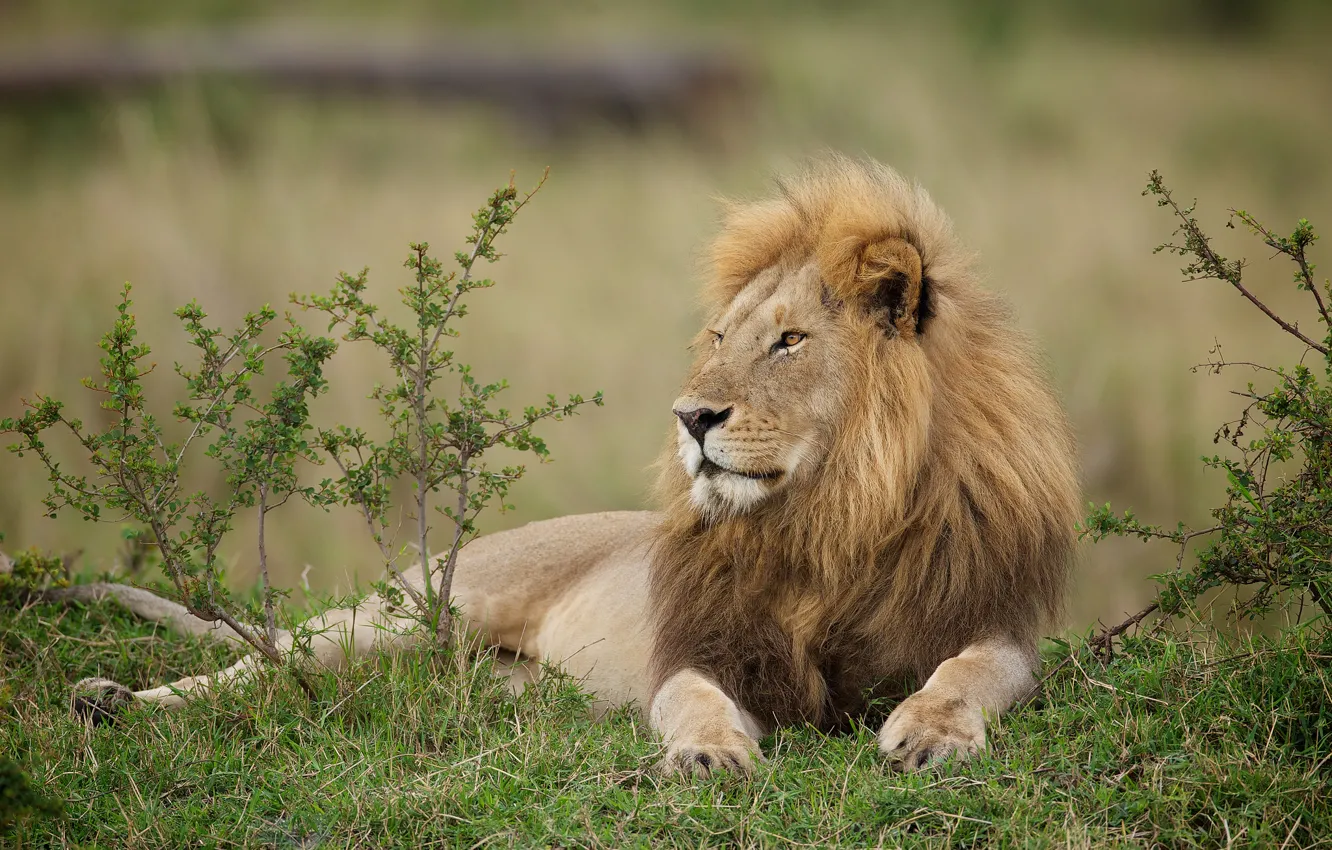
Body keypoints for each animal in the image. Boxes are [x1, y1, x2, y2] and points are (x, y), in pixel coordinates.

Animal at [64, 156, 1081, 778]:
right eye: (720, 338)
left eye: (790, 340)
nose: (691, 417)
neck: (832, 516)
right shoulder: (704, 647)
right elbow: (693, 701)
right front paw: (710, 755)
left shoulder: (990, 622)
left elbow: (966, 673)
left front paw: (930, 733)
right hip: (410, 612)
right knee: (260, 664)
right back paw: (110, 701)